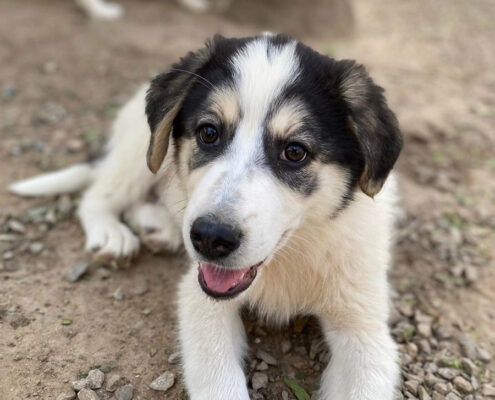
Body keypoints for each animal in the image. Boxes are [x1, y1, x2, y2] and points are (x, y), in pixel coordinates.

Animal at [10, 34, 404, 400]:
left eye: (295, 152)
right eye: (209, 132)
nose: (210, 238)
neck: (292, 254)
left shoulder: (364, 328)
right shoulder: (200, 299)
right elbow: (219, 381)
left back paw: (158, 226)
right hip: (138, 150)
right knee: (100, 193)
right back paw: (111, 233)